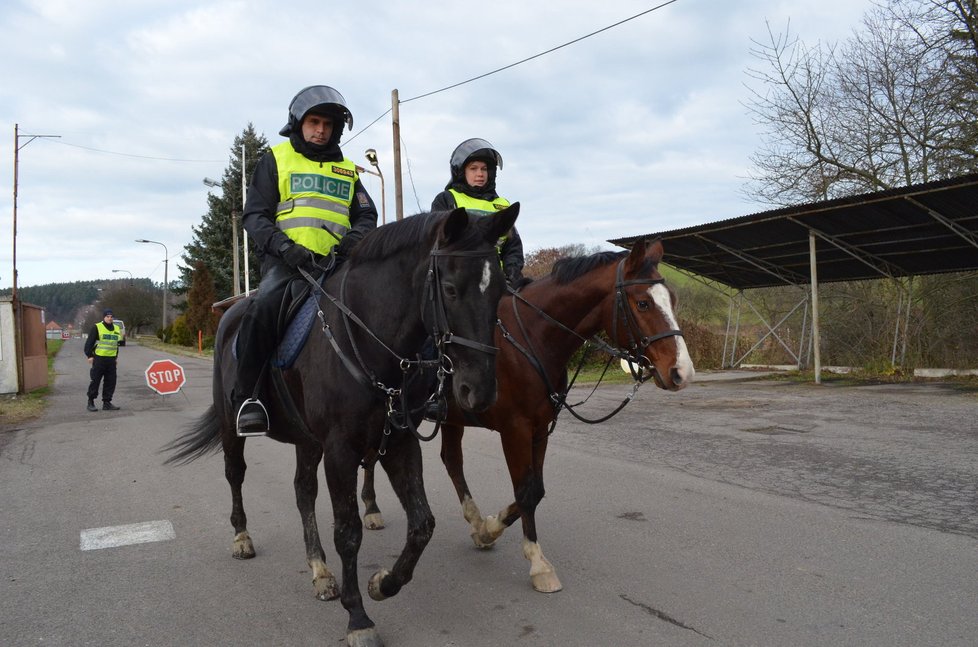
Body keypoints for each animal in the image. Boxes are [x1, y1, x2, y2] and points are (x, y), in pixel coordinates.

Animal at [166, 206, 520, 647]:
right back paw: (242, 538)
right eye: (451, 289)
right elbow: (348, 532)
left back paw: (319, 571)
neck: (369, 339)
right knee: (236, 475)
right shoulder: (340, 450)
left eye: (499, 290)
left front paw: (382, 584)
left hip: (306, 440)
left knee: (303, 491)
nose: (480, 391)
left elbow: (422, 524)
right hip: (236, 429)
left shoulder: (398, 442)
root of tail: (230, 313)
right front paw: (358, 617)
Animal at [360, 238, 692, 592]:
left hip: (451, 419)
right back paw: (371, 508)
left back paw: (473, 520)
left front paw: (488, 528)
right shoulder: (515, 429)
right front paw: (537, 563)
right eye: (643, 303)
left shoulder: (540, 428)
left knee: (451, 462)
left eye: (672, 299)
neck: (531, 337)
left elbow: (536, 489)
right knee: (375, 455)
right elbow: (525, 491)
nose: (682, 372)